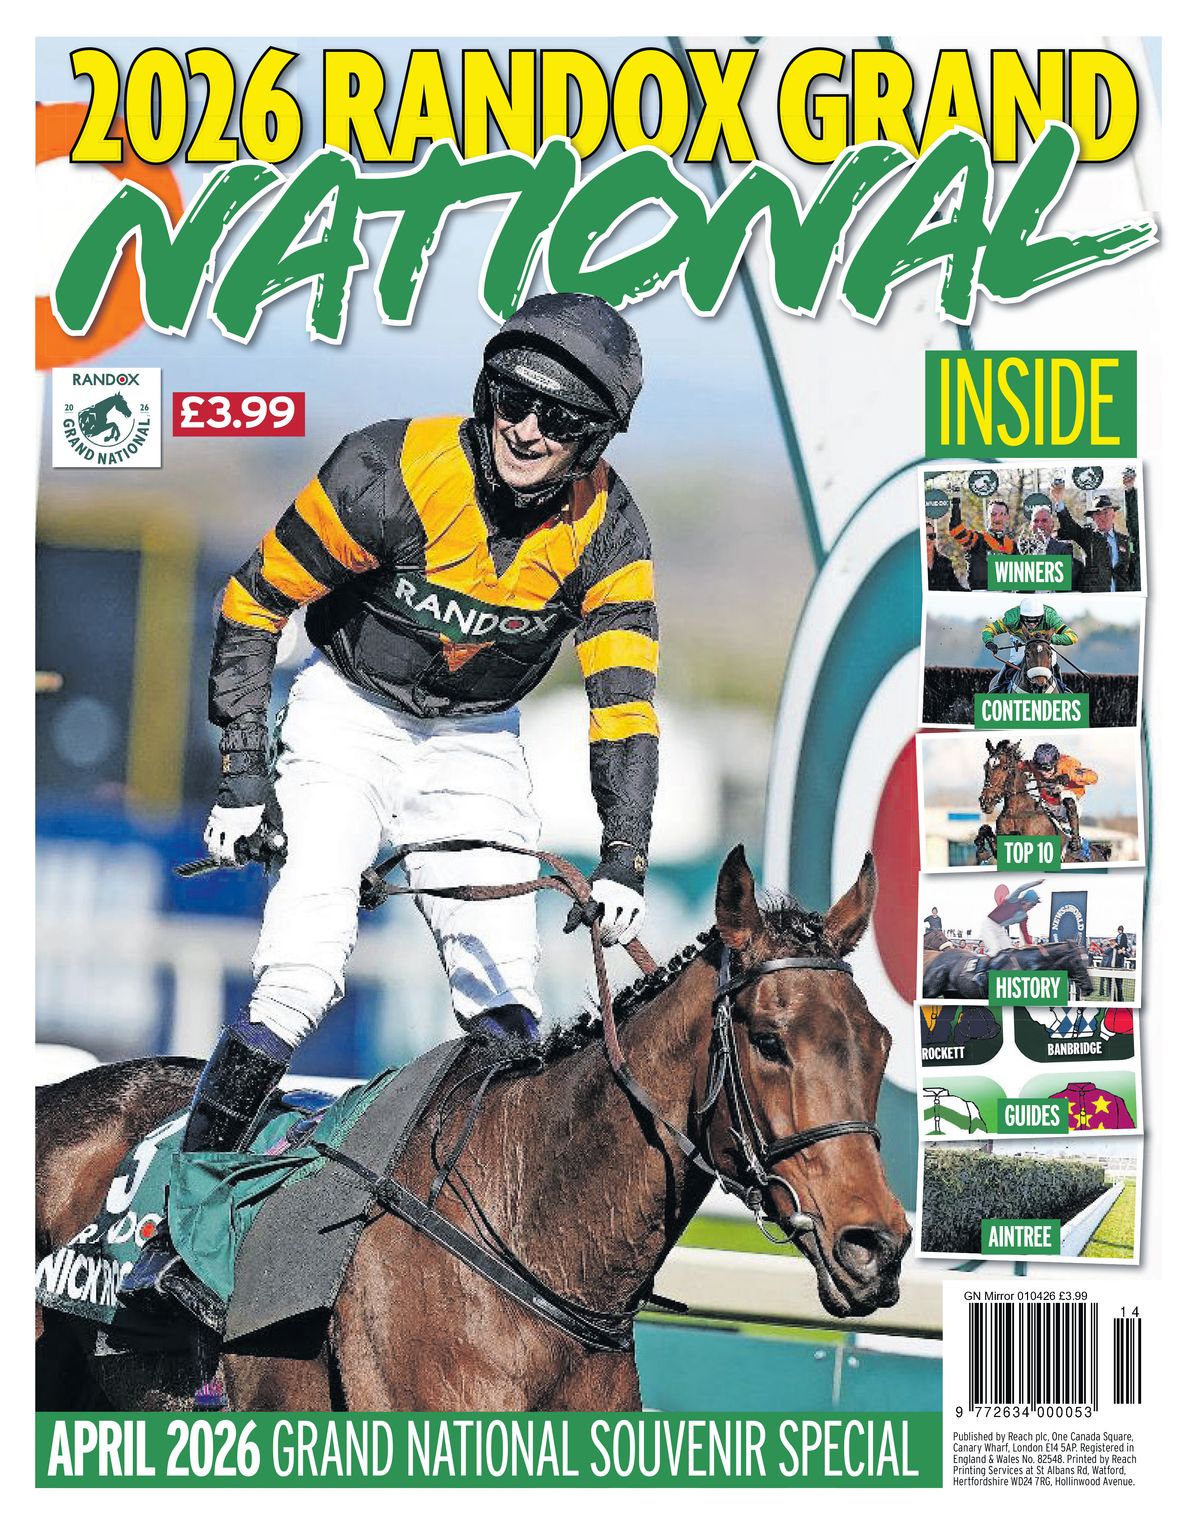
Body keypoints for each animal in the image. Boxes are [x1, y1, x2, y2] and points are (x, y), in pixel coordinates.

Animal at [978, 738, 1112, 863]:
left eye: (1005, 768)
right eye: (985, 766)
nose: (986, 801)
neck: (1016, 813)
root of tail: (1100, 851)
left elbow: (1090, 774)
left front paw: (1064, 777)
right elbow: (985, 829)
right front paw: (982, 850)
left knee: (1069, 802)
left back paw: (1076, 844)